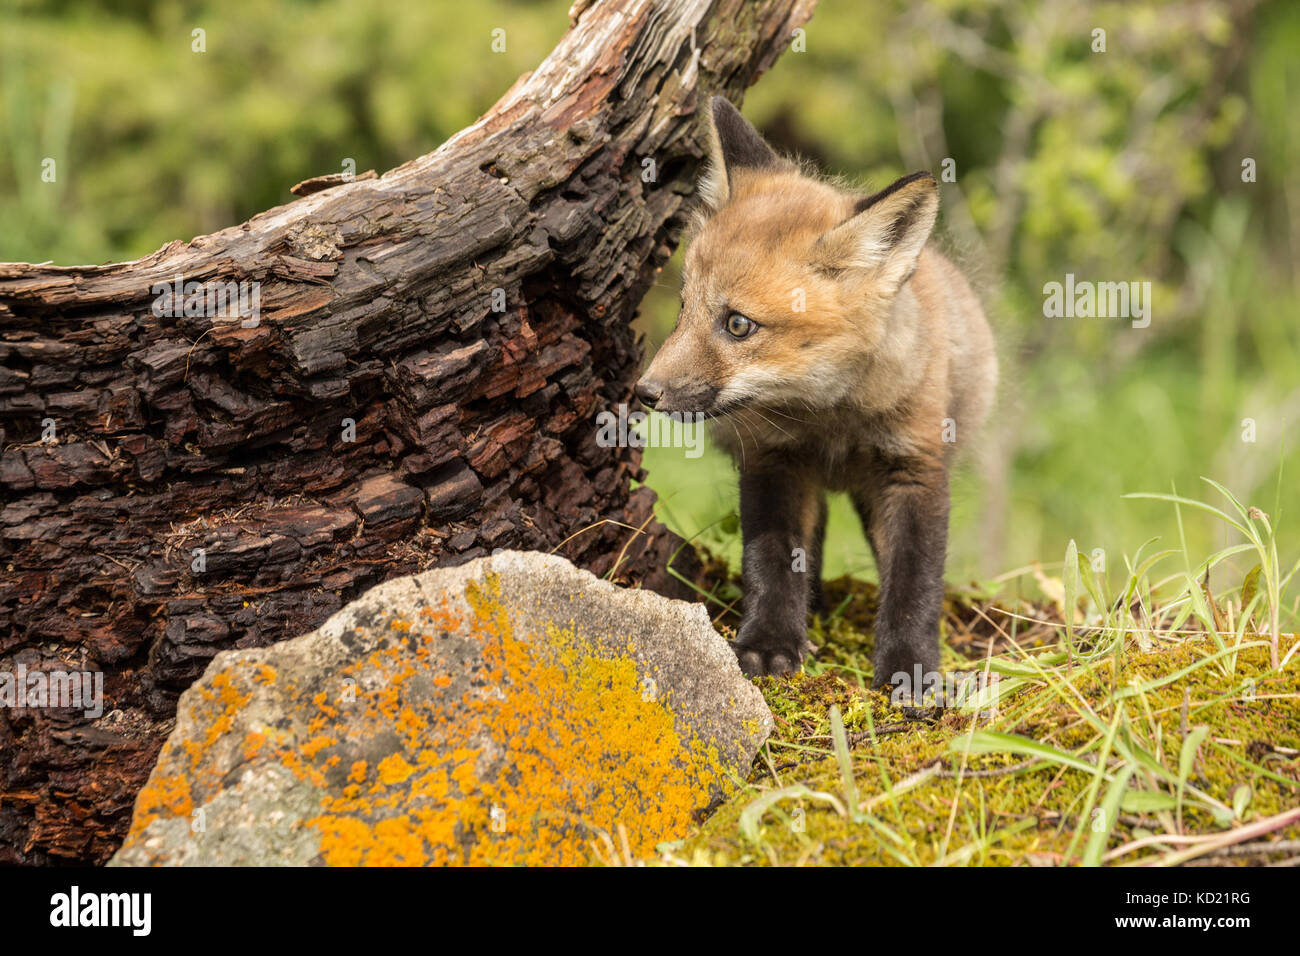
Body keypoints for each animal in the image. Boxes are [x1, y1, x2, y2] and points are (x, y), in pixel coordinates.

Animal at [637, 98, 993, 686]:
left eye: (738, 325)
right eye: (684, 308)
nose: (645, 391)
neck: (832, 417)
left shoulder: (915, 467)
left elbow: (915, 583)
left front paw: (909, 667)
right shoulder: (773, 460)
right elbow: (772, 561)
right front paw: (769, 645)